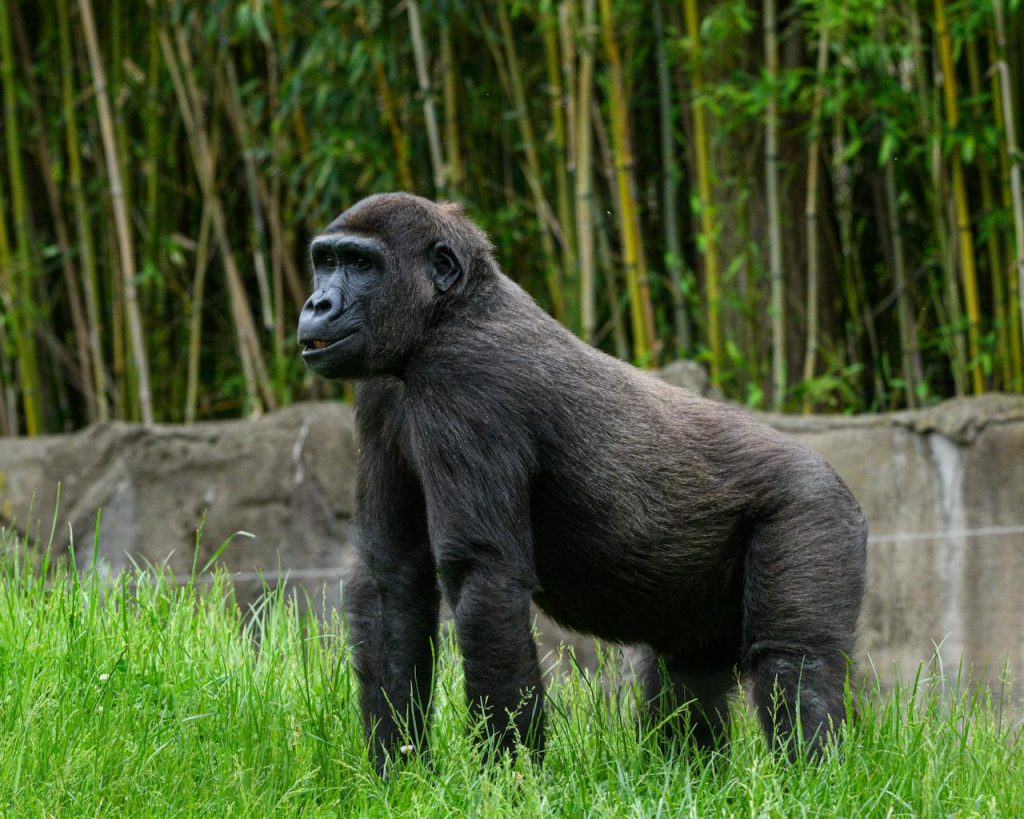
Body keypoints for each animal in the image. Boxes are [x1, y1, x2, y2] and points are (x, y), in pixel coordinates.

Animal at [296, 192, 868, 773]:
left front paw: (510, 774)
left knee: (796, 659)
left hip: (815, 507)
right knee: (685, 672)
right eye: (327, 261)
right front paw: (400, 769)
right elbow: (391, 578)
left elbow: (485, 580)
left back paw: (811, 776)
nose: (317, 304)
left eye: (361, 264)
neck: (450, 310)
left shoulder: (463, 378)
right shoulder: (379, 391)